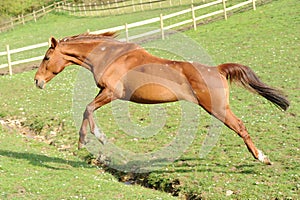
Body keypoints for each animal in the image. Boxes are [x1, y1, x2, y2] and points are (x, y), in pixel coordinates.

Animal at [34, 32, 290, 164]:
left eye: (47, 57)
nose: (37, 81)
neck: (110, 56)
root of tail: (217, 69)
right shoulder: (105, 92)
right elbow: (88, 109)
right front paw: (98, 138)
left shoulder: (112, 93)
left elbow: (87, 108)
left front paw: (87, 139)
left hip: (218, 108)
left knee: (240, 127)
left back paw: (261, 157)